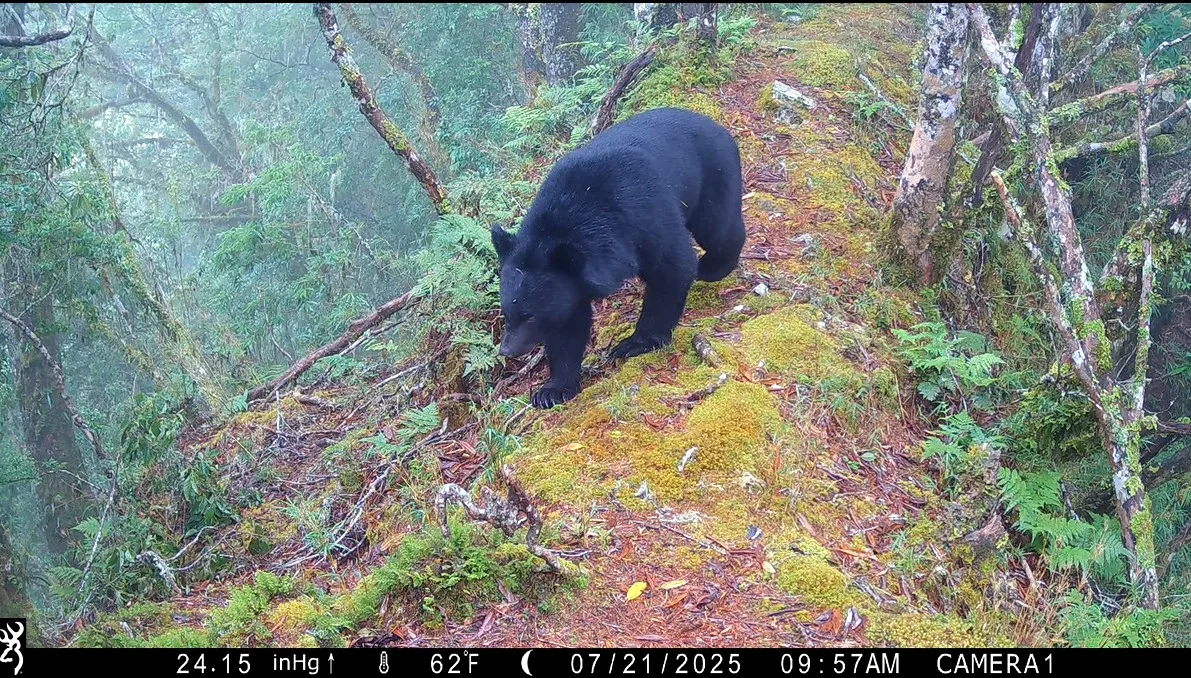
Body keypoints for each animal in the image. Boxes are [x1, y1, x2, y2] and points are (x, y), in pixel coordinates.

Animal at [490, 107, 746, 409]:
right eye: (506, 312)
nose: (507, 350)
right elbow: (568, 326)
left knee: (717, 227)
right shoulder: (572, 284)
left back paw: (712, 266)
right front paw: (553, 390)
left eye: (530, 316)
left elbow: (672, 267)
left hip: (712, 174)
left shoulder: (644, 215)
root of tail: (715, 124)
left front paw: (634, 344)